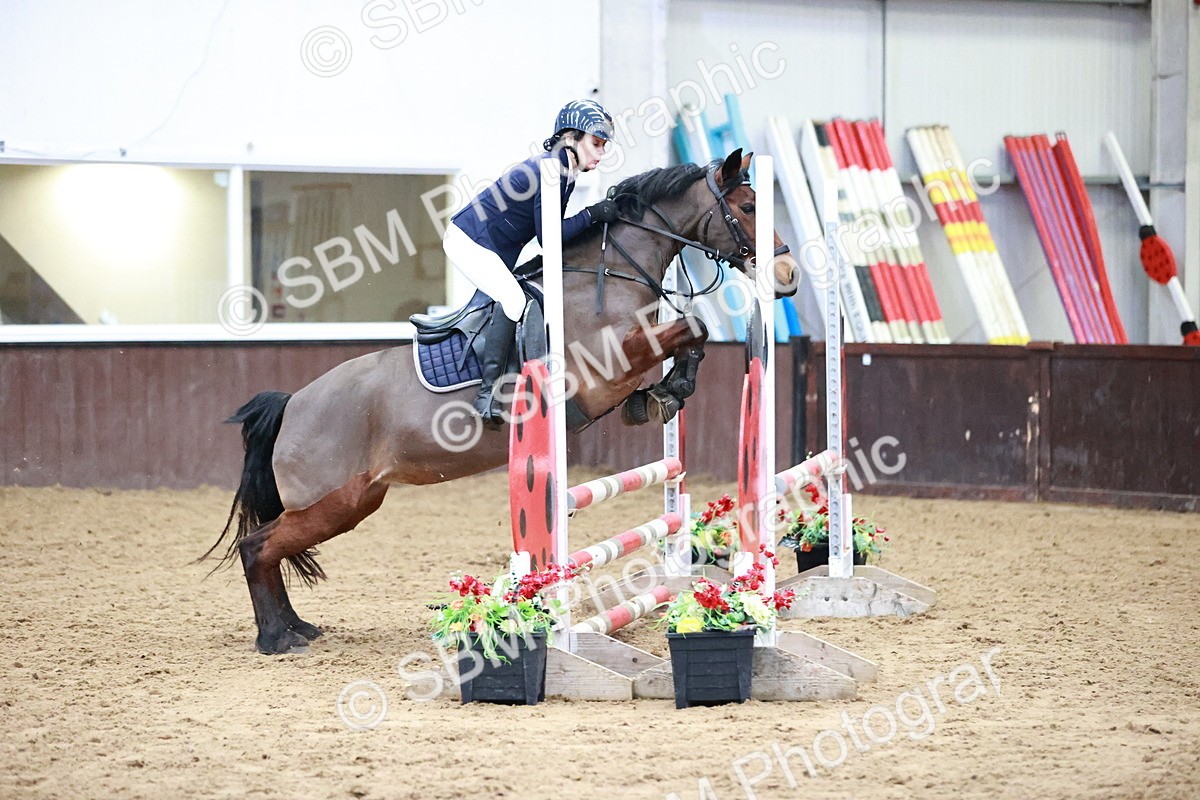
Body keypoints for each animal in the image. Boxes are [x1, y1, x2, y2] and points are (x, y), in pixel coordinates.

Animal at [202, 149, 800, 654]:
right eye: (748, 206)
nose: (788, 276)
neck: (610, 273)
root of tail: (292, 404)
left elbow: (689, 336)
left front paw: (661, 396)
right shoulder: (604, 370)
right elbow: (692, 327)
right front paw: (666, 391)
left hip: (353, 500)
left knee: (267, 548)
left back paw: (296, 627)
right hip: (334, 502)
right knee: (257, 547)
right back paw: (276, 638)